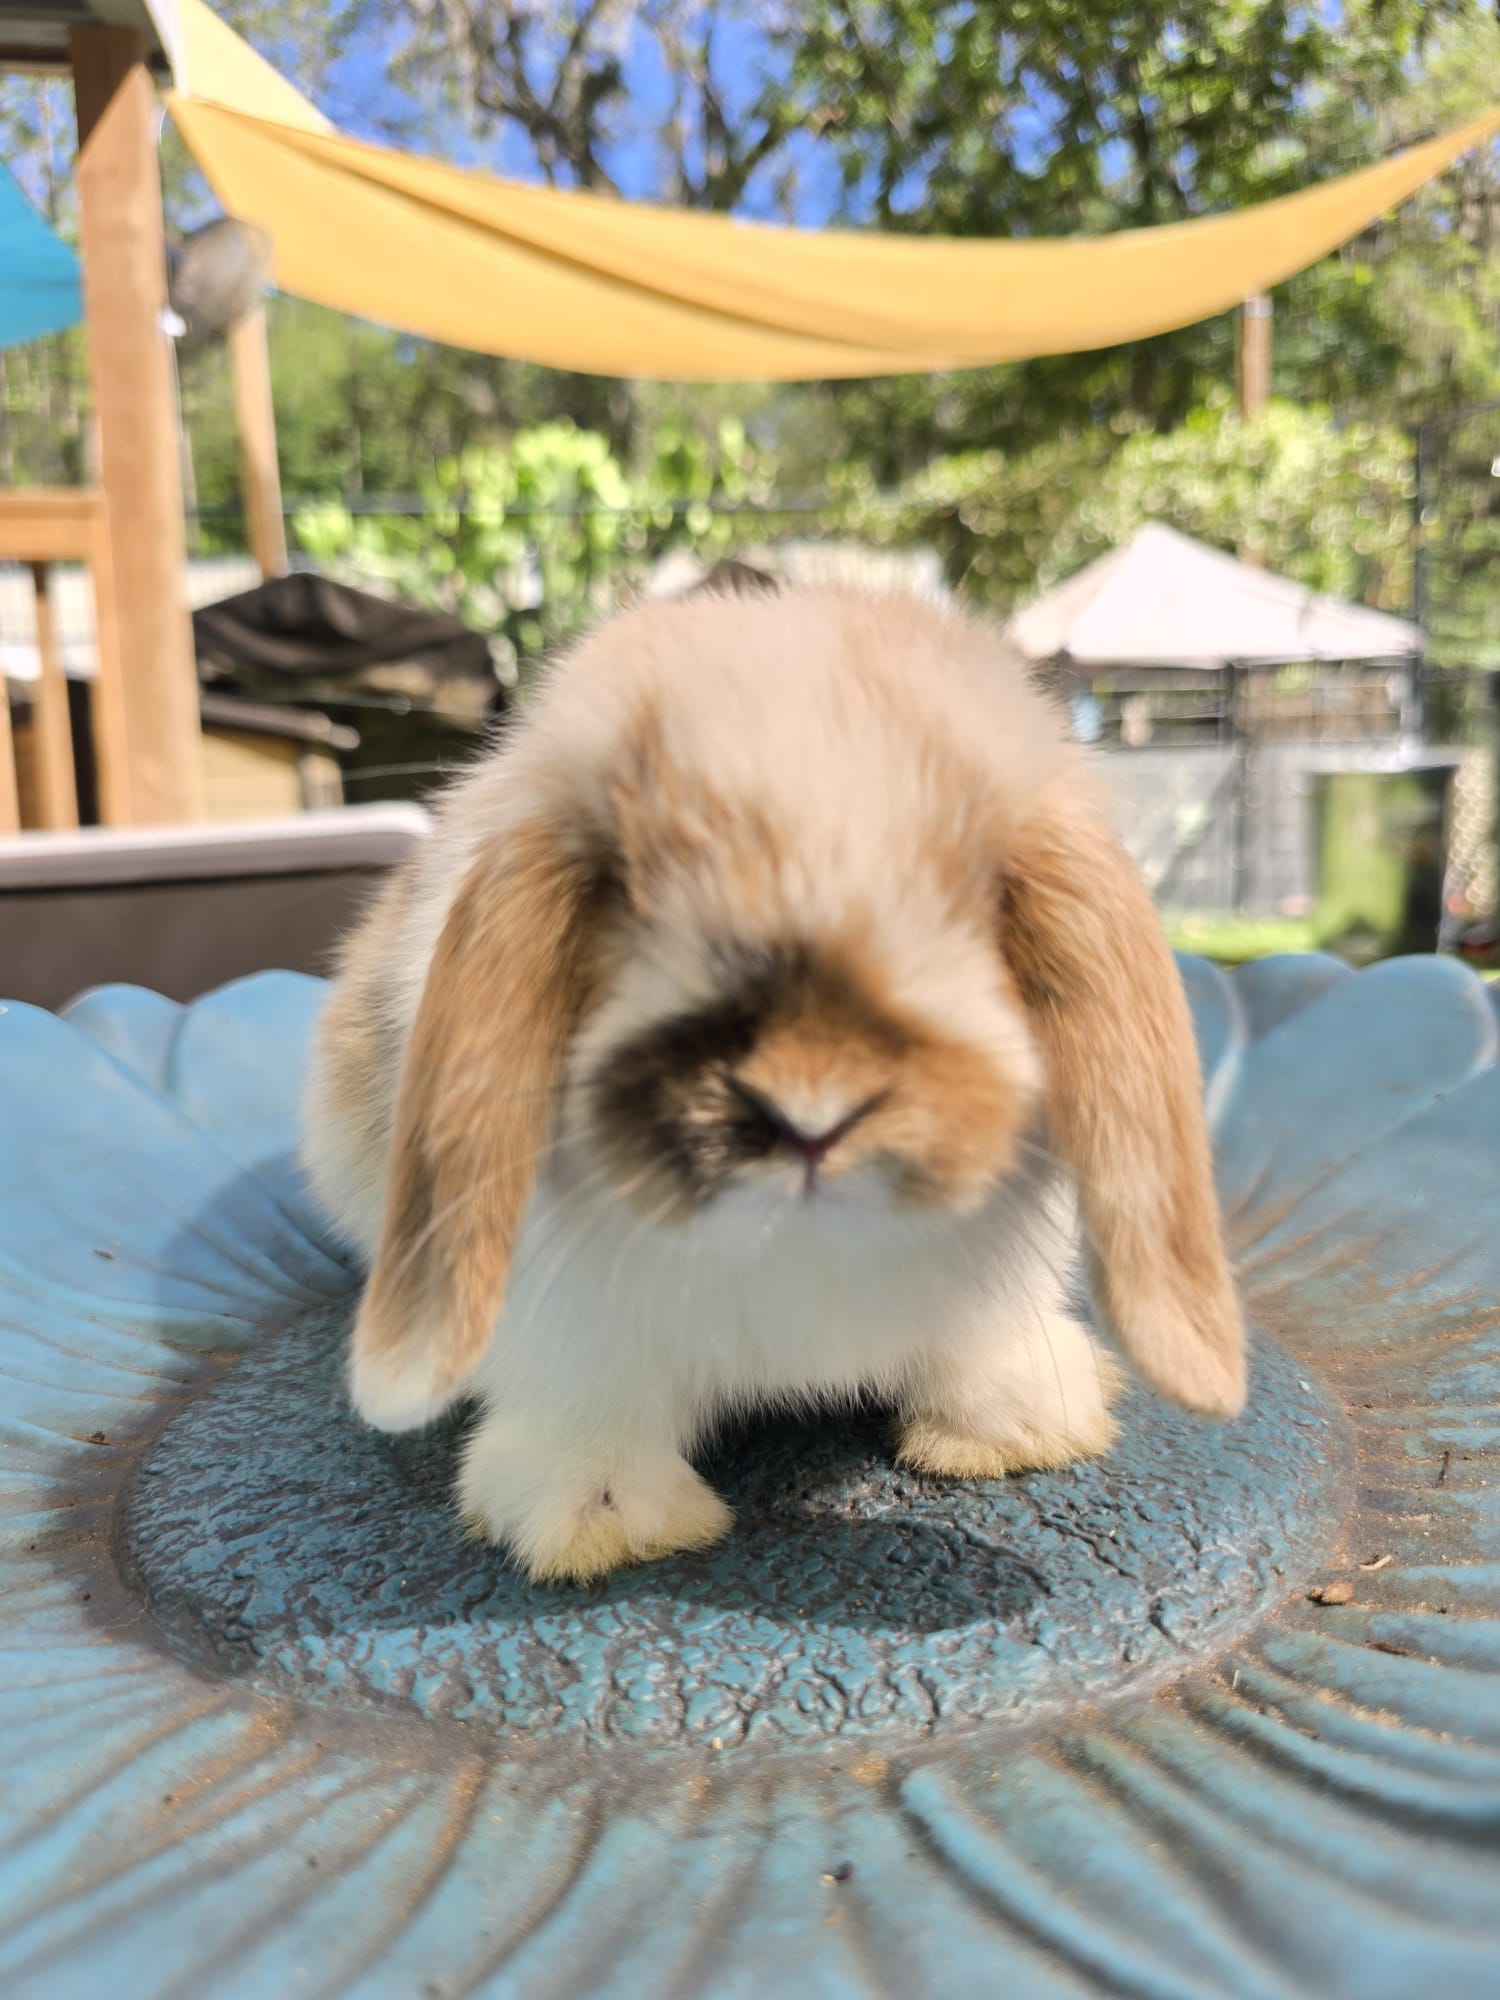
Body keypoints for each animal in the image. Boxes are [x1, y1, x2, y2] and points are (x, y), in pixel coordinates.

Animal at [303, 578, 1245, 1583]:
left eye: (981, 902)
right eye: (627, 892)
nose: (811, 1114)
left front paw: (1017, 1429)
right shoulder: (567, 1322)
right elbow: (590, 1395)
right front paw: (599, 1515)